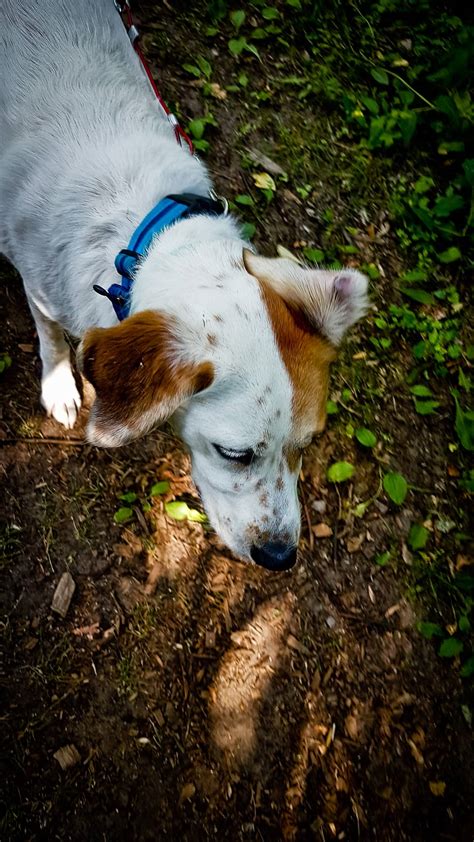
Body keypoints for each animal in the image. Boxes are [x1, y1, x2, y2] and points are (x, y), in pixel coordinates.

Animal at [0, 0, 370, 572]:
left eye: (307, 444)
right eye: (234, 454)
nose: (281, 557)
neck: (142, 232)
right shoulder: (36, 281)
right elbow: (50, 334)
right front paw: (59, 383)